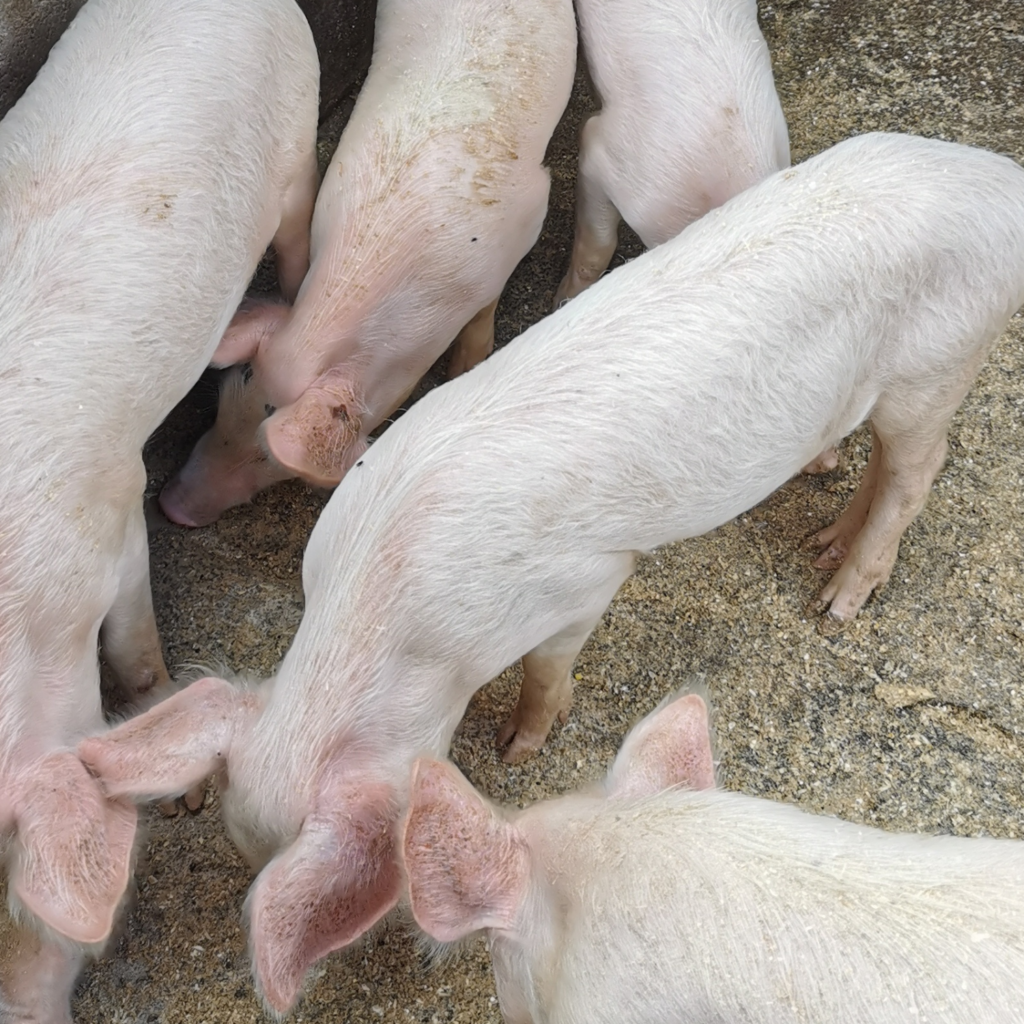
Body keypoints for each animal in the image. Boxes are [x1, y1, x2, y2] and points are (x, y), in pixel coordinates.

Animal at [157, 0, 578, 527]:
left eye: (272, 460)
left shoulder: (527, 215)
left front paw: (465, 368)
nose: (171, 506)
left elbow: (487, 307)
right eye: (230, 395)